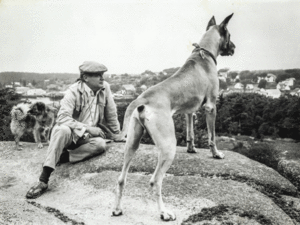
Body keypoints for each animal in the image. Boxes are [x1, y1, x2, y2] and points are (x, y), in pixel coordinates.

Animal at [111, 14, 236, 221]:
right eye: (230, 35)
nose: (234, 47)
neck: (203, 53)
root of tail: (141, 99)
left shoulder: (189, 111)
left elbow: (190, 132)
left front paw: (192, 148)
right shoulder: (211, 107)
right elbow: (212, 136)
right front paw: (216, 154)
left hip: (132, 142)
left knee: (121, 178)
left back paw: (117, 208)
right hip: (168, 146)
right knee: (155, 181)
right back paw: (164, 213)